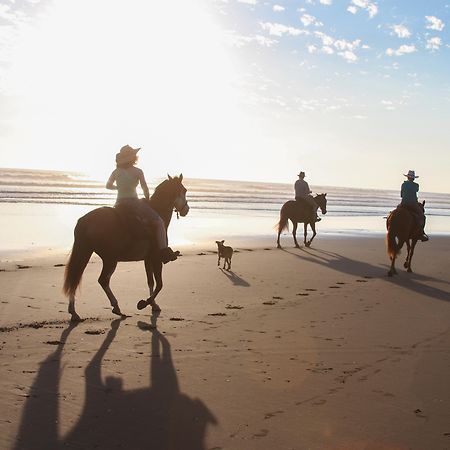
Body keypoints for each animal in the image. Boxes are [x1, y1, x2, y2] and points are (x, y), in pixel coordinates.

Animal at [62, 173, 189, 320]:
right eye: (184, 190)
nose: (186, 210)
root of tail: (85, 220)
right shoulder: (156, 258)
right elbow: (159, 284)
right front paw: (145, 303)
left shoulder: (147, 259)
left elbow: (150, 281)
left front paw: (153, 304)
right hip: (110, 259)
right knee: (102, 280)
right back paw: (116, 307)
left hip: (85, 252)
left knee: (75, 278)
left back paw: (73, 311)